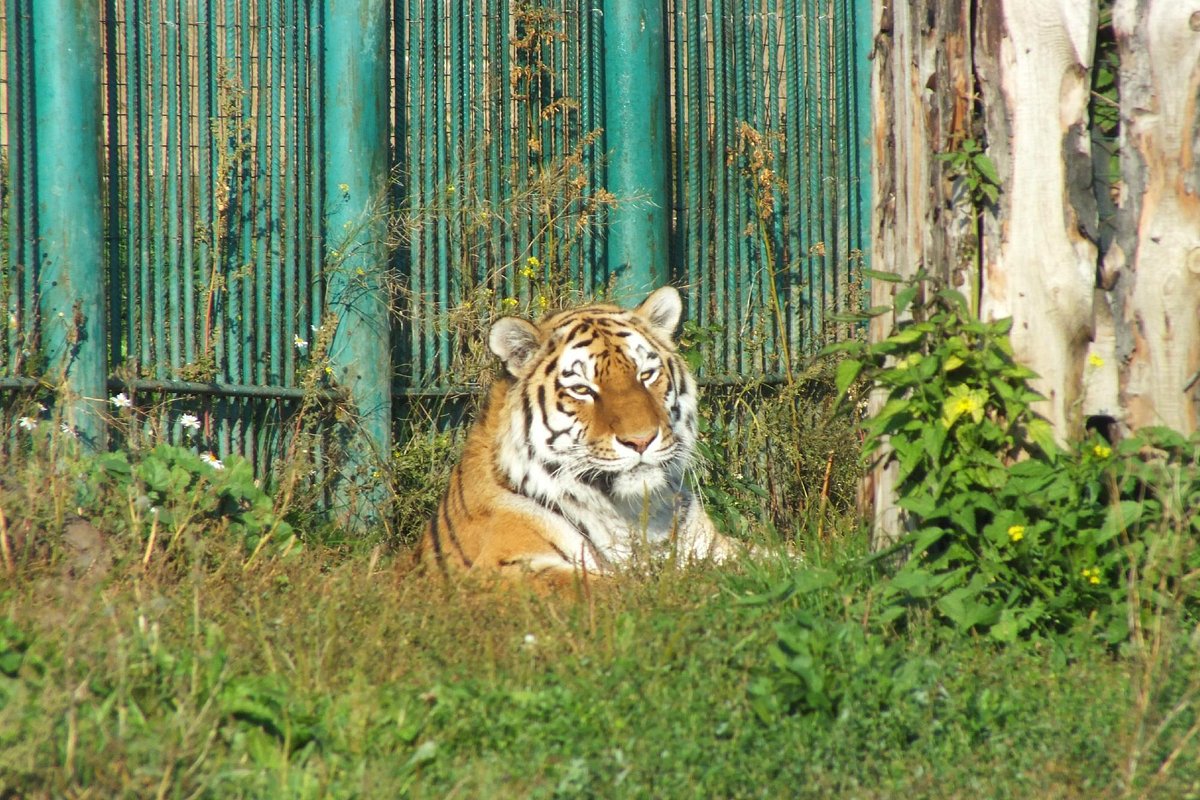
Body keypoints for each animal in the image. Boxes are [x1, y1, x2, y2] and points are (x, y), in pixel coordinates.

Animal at [417, 284, 734, 585]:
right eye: (582, 389)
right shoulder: (503, 567)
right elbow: (611, 587)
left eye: (646, 375)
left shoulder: (714, 546)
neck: (631, 510)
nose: (641, 440)